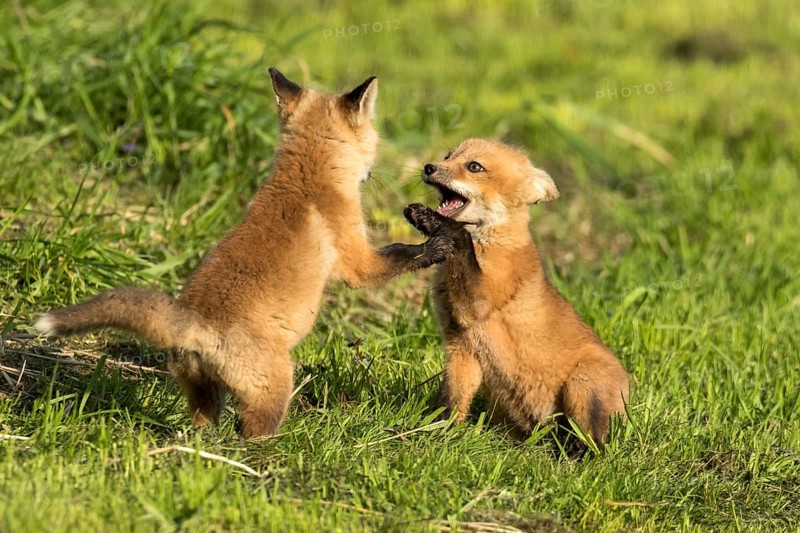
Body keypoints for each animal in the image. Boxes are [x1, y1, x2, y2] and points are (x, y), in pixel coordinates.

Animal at [35, 69, 453, 438]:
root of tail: (195, 324)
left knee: (204, 425)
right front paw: (434, 246)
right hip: (274, 386)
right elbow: (397, 255)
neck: (305, 176)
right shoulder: (356, 261)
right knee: (252, 433)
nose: (371, 173)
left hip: (201, 392)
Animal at [403, 138, 629, 445]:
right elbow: (452, 402)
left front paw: (435, 222)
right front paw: (439, 433)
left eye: (474, 167)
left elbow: (461, 240)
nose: (429, 167)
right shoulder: (461, 344)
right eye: (448, 156)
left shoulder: (478, 306)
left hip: (582, 385)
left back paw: (572, 451)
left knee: (593, 444)